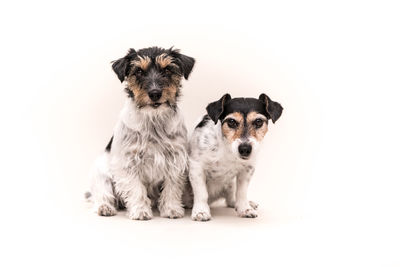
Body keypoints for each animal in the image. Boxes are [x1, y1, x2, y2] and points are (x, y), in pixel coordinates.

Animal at [86, 47, 195, 221]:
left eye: (167, 70)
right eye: (138, 71)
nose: (155, 93)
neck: (153, 120)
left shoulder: (175, 160)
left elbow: (172, 188)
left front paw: (171, 209)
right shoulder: (128, 163)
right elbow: (136, 189)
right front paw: (140, 211)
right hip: (101, 175)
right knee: (103, 194)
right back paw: (105, 207)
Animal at [189, 93, 282, 221]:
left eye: (258, 121)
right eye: (231, 122)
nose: (245, 149)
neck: (228, 150)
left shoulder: (247, 170)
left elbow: (241, 192)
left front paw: (245, 208)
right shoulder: (196, 167)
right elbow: (201, 193)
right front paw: (201, 211)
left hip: (230, 184)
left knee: (231, 199)